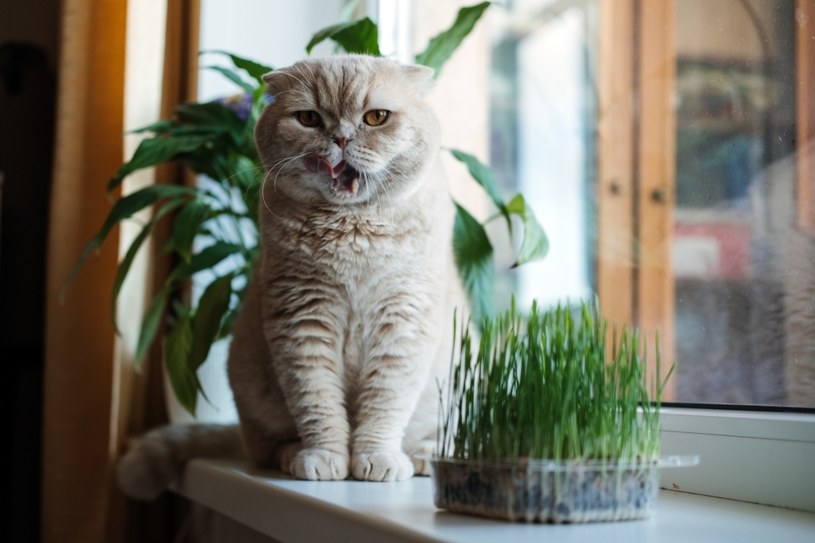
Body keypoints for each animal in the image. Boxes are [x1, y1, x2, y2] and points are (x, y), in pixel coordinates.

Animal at [118, 56, 468, 502]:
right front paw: (325, 459)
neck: (353, 230)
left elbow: (385, 403)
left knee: (427, 435)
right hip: (254, 394)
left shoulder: (403, 323)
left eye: (376, 117)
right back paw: (291, 455)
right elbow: (317, 402)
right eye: (309, 119)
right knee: (268, 445)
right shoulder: (303, 321)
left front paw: (376, 458)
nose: (340, 137)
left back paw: (421, 456)